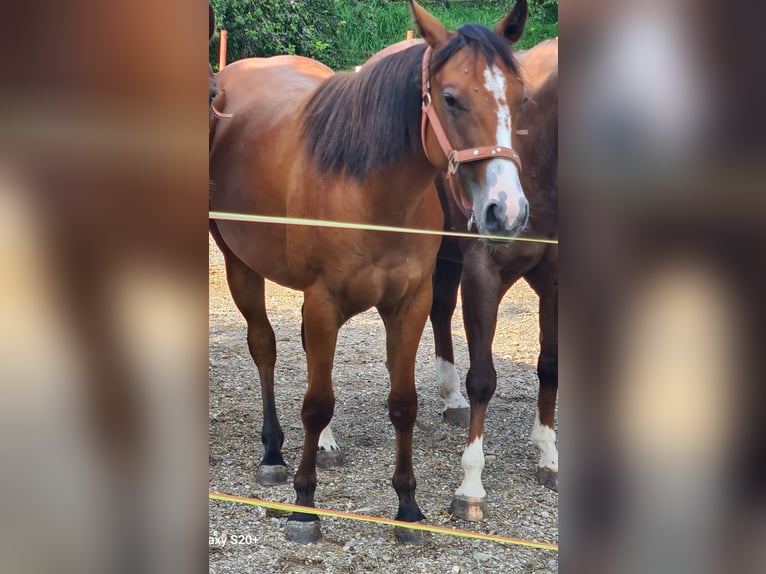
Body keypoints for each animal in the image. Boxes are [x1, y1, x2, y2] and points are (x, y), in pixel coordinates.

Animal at [209, 0, 530, 544]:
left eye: (520, 97)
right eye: (450, 98)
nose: (505, 210)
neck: (369, 191)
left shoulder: (410, 304)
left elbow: (403, 402)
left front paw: (408, 506)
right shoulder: (323, 302)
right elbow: (316, 402)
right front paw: (304, 507)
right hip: (240, 265)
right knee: (264, 347)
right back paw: (273, 452)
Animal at [429, 37, 558, 522]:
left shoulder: (555, 280)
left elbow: (550, 366)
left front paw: (548, 454)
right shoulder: (483, 276)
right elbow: (483, 378)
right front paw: (471, 486)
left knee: (439, 310)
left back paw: (451, 401)